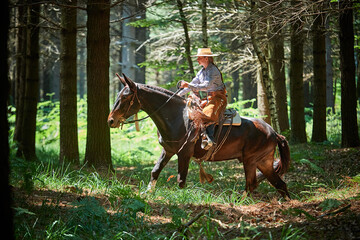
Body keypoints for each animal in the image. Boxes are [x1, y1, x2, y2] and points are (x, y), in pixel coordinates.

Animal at [107, 73, 292, 199]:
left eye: (125, 97)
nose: (110, 120)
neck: (177, 117)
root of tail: (274, 133)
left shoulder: (184, 154)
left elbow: (181, 180)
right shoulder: (168, 150)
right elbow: (155, 171)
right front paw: (147, 193)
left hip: (251, 161)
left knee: (252, 184)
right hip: (263, 162)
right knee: (279, 184)